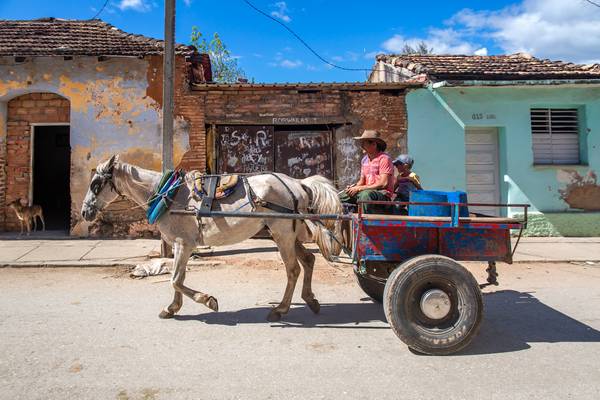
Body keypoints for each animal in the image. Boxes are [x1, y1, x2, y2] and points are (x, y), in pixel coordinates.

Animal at [81, 155, 342, 322]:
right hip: (286, 232)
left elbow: (175, 280)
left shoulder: (183, 243)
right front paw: (172, 308)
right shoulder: (181, 245)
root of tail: (297, 183)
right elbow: (178, 278)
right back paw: (310, 300)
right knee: (308, 260)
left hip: (283, 233)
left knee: (293, 269)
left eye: (96, 184)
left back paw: (281, 309)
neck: (167, 194)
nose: (85, 212)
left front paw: (207, 300)